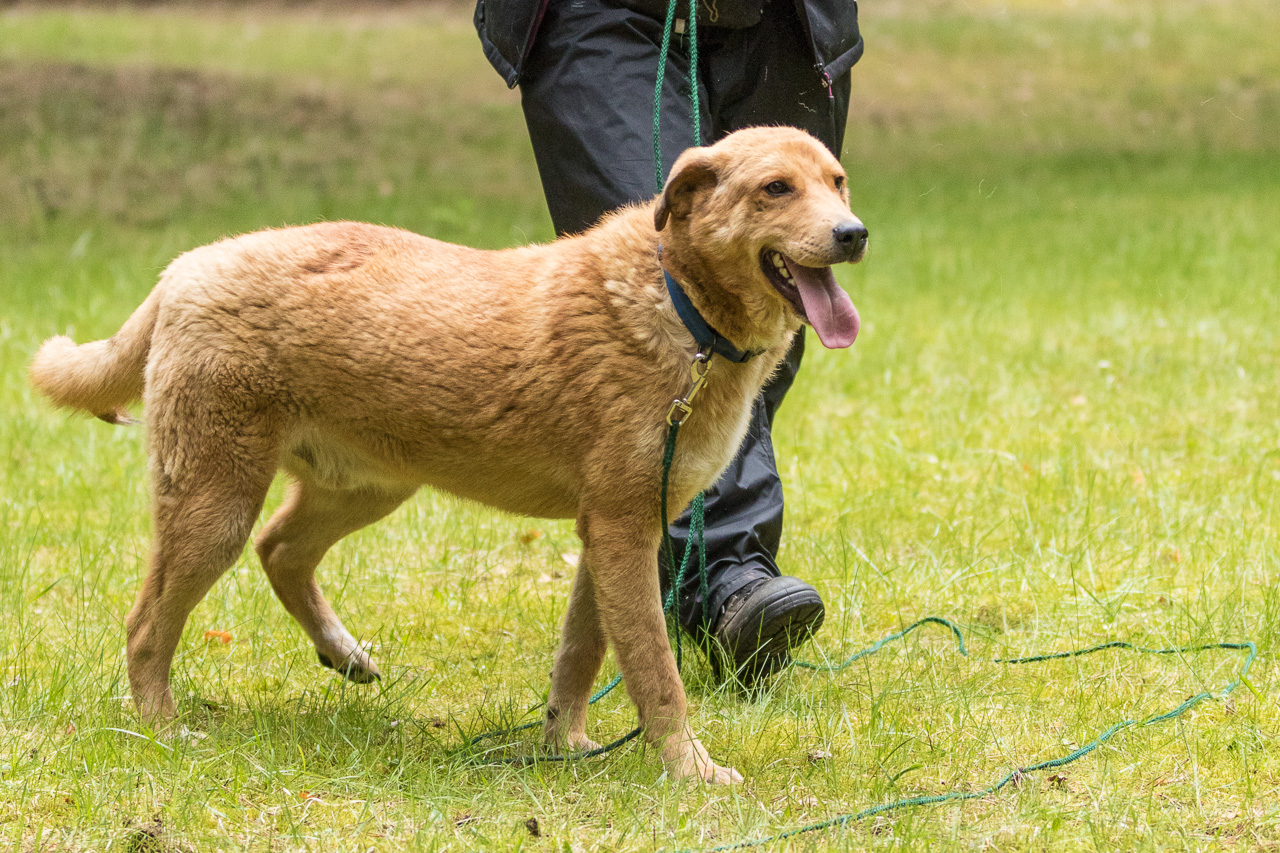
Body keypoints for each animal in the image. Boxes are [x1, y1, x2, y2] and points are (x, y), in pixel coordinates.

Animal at [30, 126, 867, 783]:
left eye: (837, 181)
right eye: (775, 188)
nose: (854, 233)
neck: (680, 306)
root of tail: (185, 268)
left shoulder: (611, 531)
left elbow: (579, 657)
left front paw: (563, 746)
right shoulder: (624, 532)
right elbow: (657, 675)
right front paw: (691, 770)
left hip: (364, 486)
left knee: (281, 551)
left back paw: (342, 651)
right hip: (213, 503)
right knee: (147, 624)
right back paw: (161, 729)